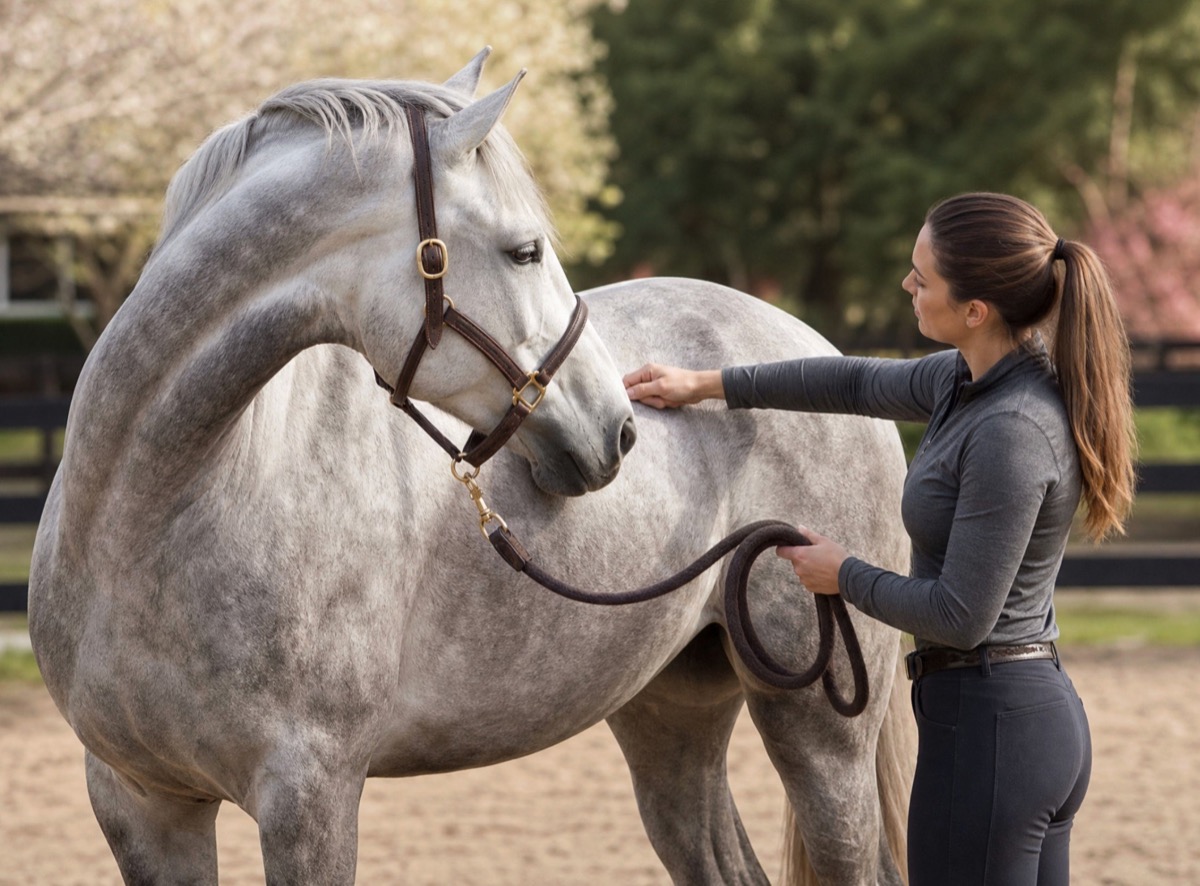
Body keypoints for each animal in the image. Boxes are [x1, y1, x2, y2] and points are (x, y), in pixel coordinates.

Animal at [29, 49, 913, 885]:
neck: (151, 520)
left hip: (820, 732)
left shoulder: (309, 797)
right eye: (524, 251)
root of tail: (821, 351)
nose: (620, 430)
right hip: (671, 715)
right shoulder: (141, 803)